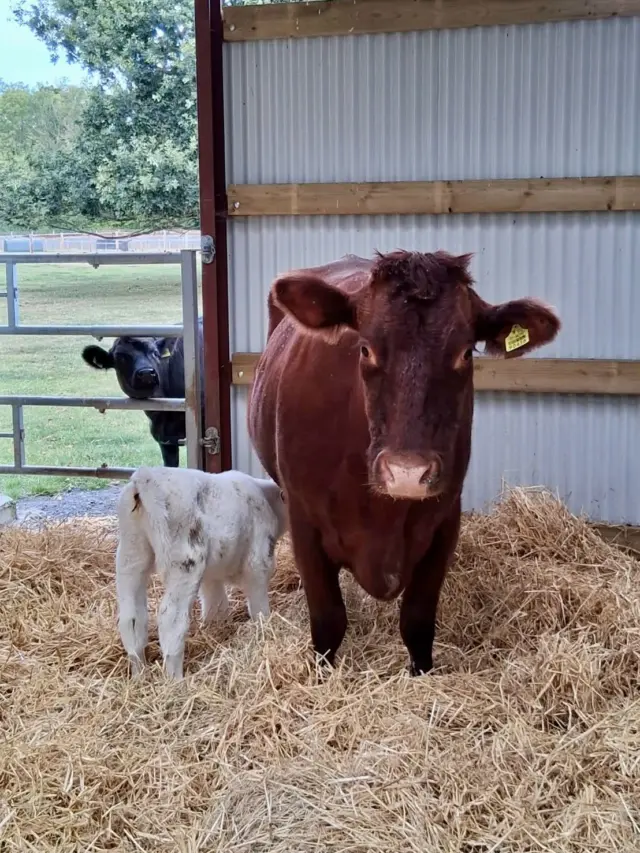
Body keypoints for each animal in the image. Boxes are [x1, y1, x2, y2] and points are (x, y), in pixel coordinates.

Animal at [247, 250, 561, 676]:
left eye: (465, 352)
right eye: (365, 349)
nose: (407, 473)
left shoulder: (445, 519)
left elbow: (417, 621)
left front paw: (422, 674)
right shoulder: (304, 520)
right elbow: (328, 620)